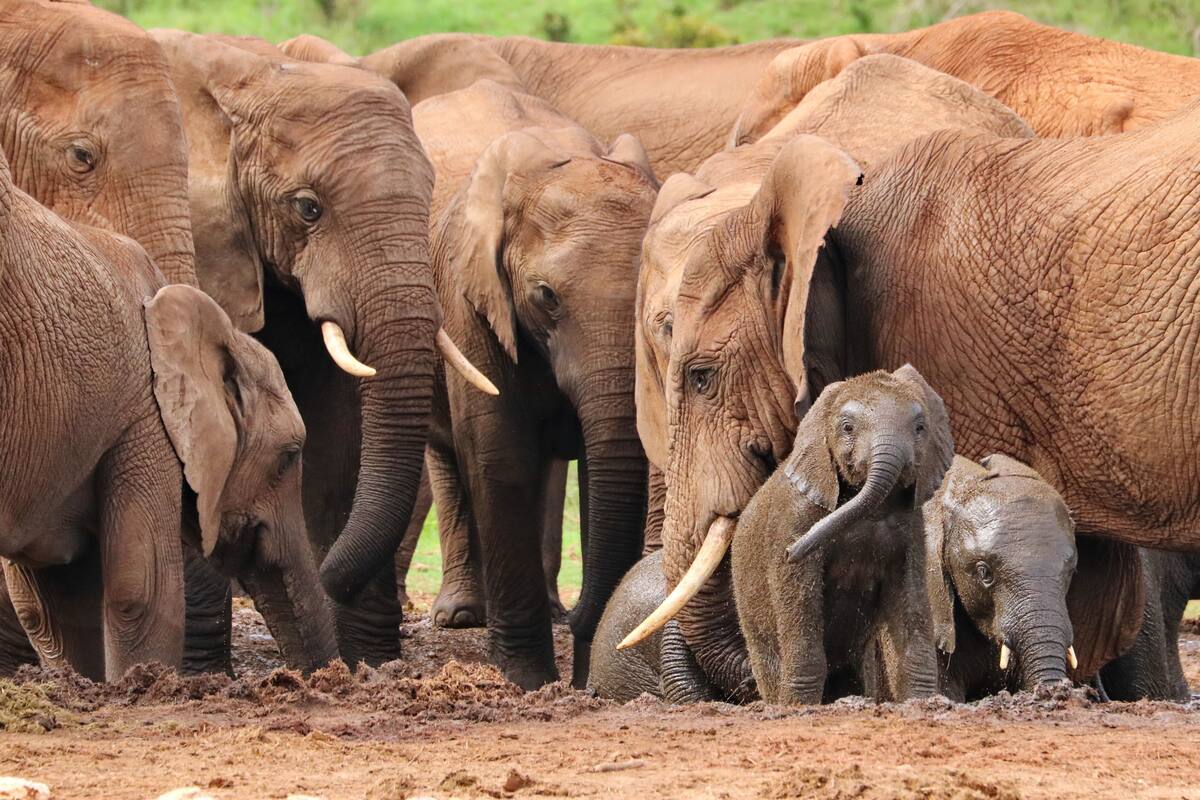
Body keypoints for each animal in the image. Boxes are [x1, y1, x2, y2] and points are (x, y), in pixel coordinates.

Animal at [150, 32, 494, 667]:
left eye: (429, 199)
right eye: (308, 208)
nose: (327, 571)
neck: (252, 75)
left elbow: (337, 432)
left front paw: (368, 663)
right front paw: (200, 673)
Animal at [412, 79, 658, 688]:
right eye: (546, 296)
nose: (583, 617)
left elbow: (601, 467)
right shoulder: (467, 297)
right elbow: (498, 453)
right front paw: (527, 680)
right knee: (448, 454)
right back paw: (461, 616)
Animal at [730, 366, 950, 705]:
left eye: (920, 427)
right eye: (847, 428)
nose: (792, 551)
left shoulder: (912, 533)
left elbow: (911, 609)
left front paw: (921, 702)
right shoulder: (793, 520)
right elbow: (801, 609)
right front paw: (798, 707)